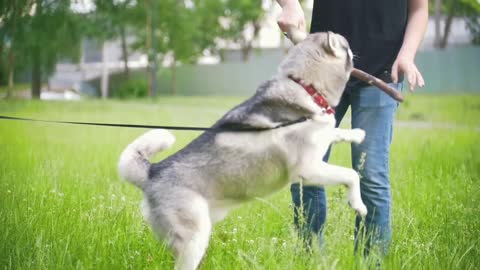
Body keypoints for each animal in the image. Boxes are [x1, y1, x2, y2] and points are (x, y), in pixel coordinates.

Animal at [119, 32, 368, 270]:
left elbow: (334, 132)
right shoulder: (309, 170)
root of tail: (152, 171)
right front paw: (358, 204)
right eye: (346, 46)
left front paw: (356, 134)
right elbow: (351, 175)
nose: (357, 51)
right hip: (193, 239)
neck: (306, 86)